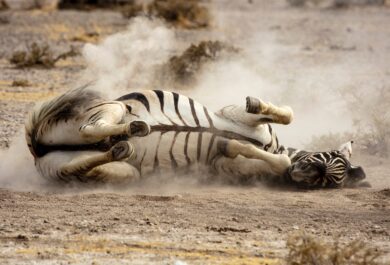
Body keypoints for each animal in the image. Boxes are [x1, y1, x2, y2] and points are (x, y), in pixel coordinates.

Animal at [25, 85, 368, 188]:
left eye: (324, 181)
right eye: (327, 157)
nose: (300, 174)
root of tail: (37, 148)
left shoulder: (223, 165)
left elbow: (241, 150)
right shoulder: (233, 114)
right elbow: (286, 114)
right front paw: (257, 104)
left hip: (98, 170)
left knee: (95, 157)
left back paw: (123, 144)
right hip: (112, 107)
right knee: (92, 127)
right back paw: (134, 129)